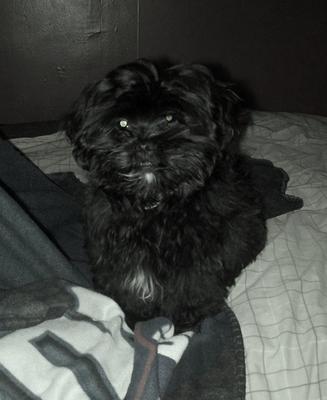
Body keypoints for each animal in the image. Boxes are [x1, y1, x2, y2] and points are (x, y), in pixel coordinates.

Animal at [65, 58, 268, 332]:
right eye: (122, 123)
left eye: (170, 118)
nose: (144, 145)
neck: (154, 202)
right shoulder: (113, 245)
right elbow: (124, 280)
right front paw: (133, 313)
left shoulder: (198, 250)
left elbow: (191, 284)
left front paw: (185, 318)